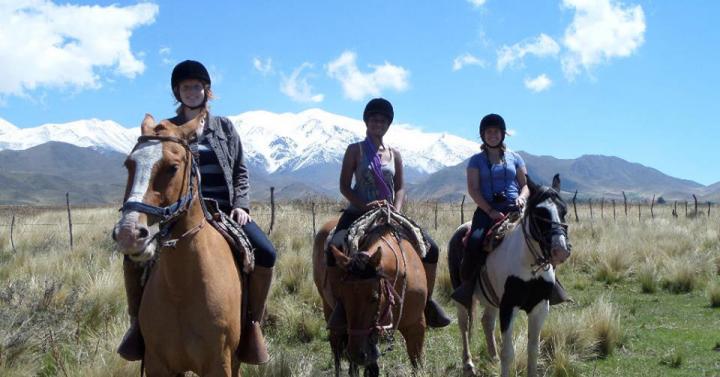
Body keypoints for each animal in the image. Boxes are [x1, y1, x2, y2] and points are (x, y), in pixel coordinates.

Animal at [112, 113, 242, 374]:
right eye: (128, 165)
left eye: (172, 167)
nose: (128, 234)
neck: (181, 289)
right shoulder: (157, 365)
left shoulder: (219, 364)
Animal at [310, 217, 428, 376]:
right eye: (343, 298)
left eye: (374, 297)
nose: (356, 353)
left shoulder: (416, 326)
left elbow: (417, 363)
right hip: (329, 310)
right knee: (336, 350)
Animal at [448, 173, 572, 376]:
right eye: (540, 213)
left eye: (564, 211)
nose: (560, 250)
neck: (529, 265)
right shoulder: (508, 307)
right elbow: (508, 353)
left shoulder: (540, 307)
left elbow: (533, 350)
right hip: (462, 295)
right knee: (464, 325)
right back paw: (468, 363)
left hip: (491, 298)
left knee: (486, 322)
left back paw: (493, 356)